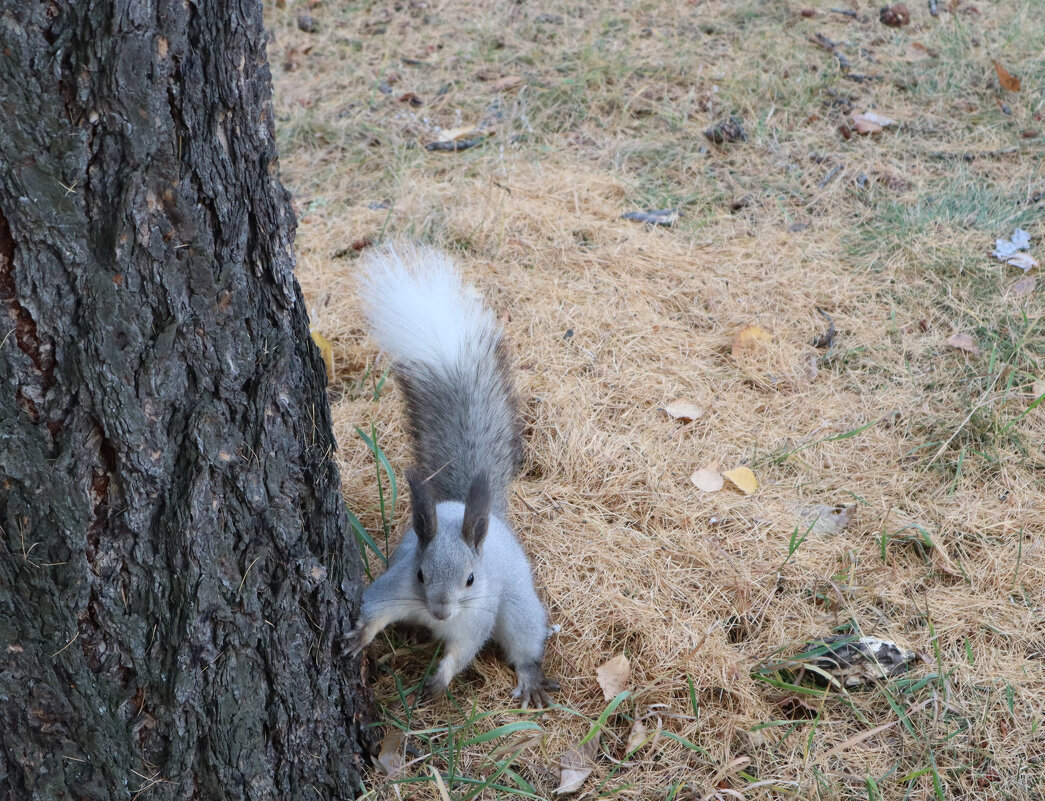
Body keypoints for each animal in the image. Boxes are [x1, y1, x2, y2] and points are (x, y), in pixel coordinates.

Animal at [344, 242, 560, 710]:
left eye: (471, 579)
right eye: (421, 574)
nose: (441, 611)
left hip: (518, 605)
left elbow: (463, 651)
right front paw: (362, 635)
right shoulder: (396, 586)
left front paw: (440, 679)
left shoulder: (474, 619)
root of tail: (468, 506)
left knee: (525, 637)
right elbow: (374, 610)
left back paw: (531, 677)